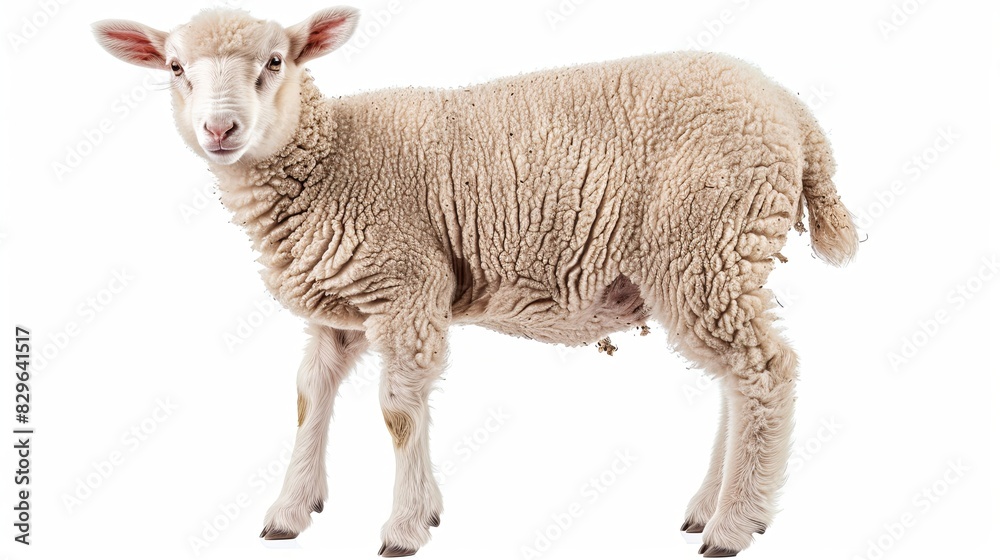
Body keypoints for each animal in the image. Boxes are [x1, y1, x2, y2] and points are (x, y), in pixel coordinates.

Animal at [92, 6, 858, 558]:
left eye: (275, 62)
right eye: (176, 67)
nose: (221, 129)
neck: (333, 157)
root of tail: (794, 114)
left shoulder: (405, 283)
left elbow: (399, 412)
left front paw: (404, 527)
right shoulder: (340, 308)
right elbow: (311, 397)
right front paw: (291, 511)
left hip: (705, 241)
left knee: (765, 373)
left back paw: (733, 525)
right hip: (720, 259)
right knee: (738, 377)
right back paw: (714, 507)